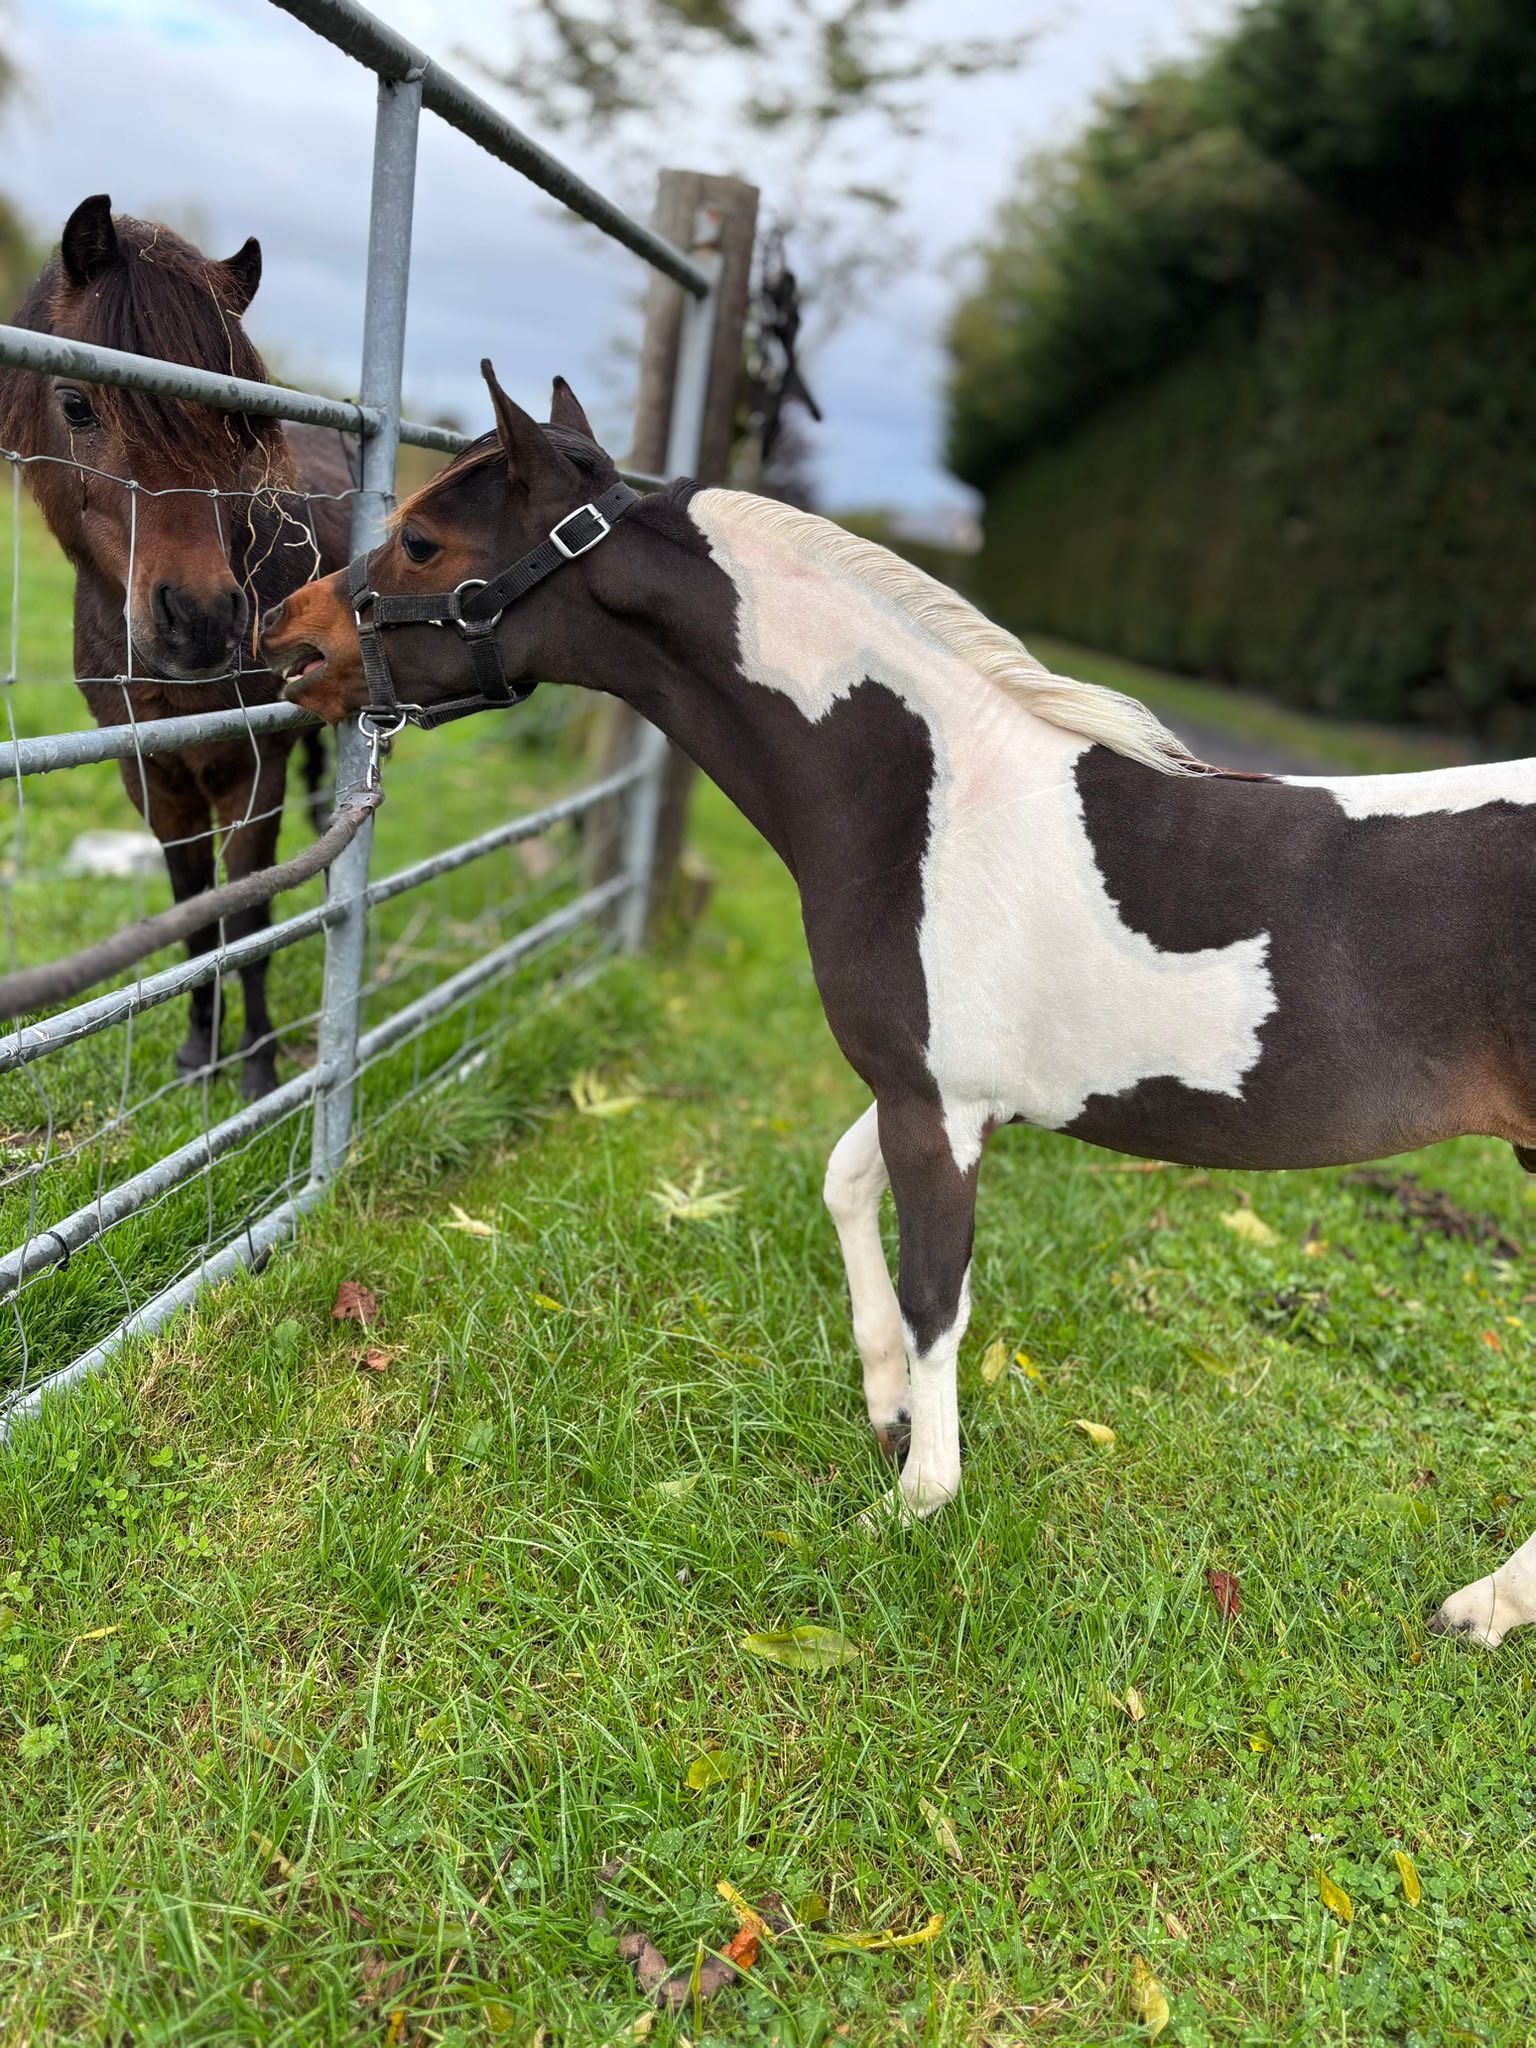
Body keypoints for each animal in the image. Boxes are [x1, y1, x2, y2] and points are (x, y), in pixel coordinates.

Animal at [0, 195, 353, 1099]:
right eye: (76, 403)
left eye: (235, 418)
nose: (200, 618)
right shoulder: (154, 777)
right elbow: (193, 913)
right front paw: (201, 1049)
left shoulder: (252, 771)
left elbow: (249, 913)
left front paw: (257, 1062)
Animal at [259, 361, 1536, 1646]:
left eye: (424, 541)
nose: (292, 642)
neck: (925, 803)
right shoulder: (927, 1092)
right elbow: (844, 1190)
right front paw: (886, 1409)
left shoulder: (939, 1109)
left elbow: (938, 1294)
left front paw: (917, 1499)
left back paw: (1484, 1606)